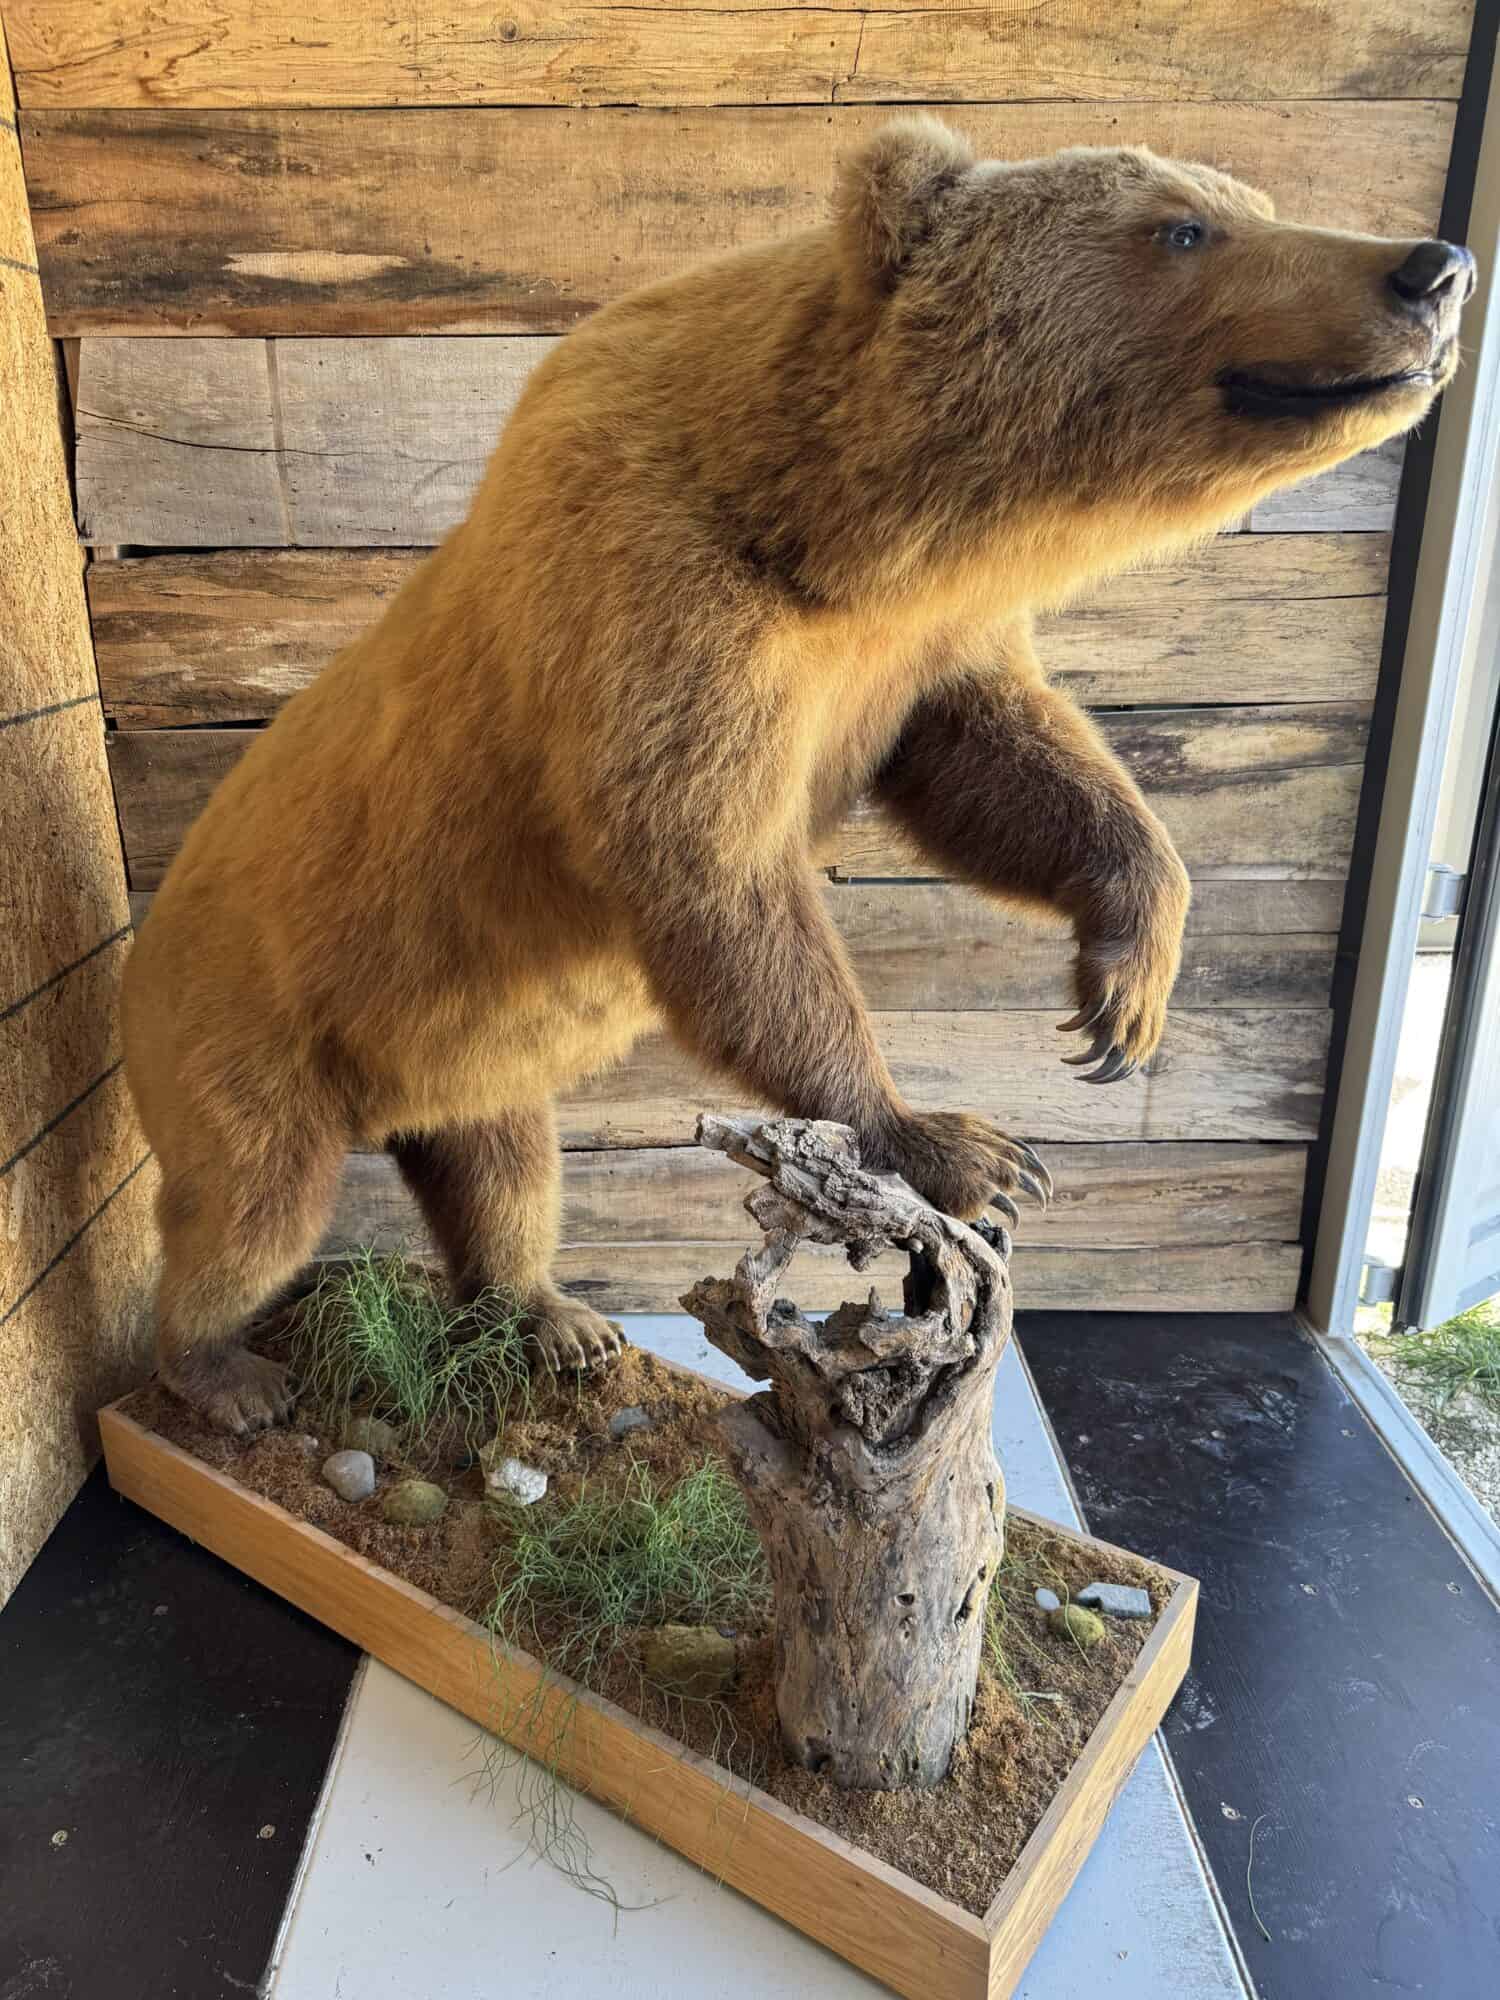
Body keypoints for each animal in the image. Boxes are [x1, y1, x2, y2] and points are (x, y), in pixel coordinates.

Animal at [121, 116, 1475, 1434]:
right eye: (1184, 226)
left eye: (1243, 196)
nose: (1435, 266)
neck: (826, 519)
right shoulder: (655, 602)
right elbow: (717, 881)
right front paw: (966, 1145)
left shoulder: (911, 649)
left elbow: (1004, 761)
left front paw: (1123, 993)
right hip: (252, 1020)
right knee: (251, 1205)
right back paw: (224, 1372)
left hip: (460, 1049)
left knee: (502, 1169)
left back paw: (554, 1315)